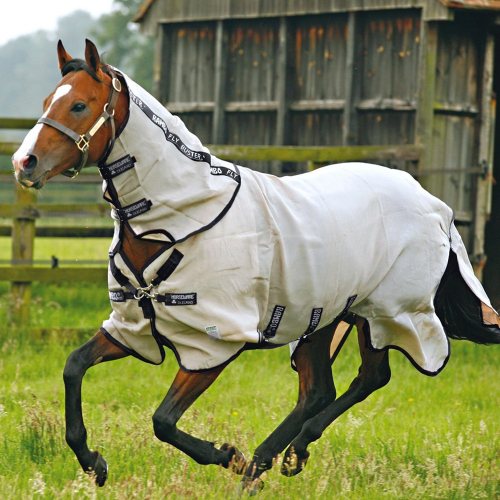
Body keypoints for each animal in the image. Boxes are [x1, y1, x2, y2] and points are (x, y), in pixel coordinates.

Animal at [11, 38, 500, 492]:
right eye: (48, 101)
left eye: (79, 104)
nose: (24, 163)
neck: (177, 224)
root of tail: (433, 204)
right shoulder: (133, 329)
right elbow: (74, 366)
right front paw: (93, 462)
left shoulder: (212, 345)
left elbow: (163, 421)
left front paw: (228, 455)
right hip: (322, 316)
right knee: (321, 389)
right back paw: (277, 459)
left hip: (383, 312)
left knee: (369, 377)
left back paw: (269, 459)